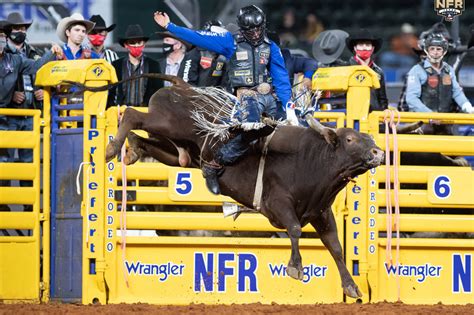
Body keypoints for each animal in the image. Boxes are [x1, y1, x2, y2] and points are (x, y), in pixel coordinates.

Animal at [75, 73, 386, 298]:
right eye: (350, 139)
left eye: (368, 138)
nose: (378, 153)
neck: (314, 161)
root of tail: (184, 87)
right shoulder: (278, 204)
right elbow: (296, 229)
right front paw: (295, 268)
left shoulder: (321, 213)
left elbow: (335, 246)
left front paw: (350, 286)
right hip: (167, 123)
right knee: (131, 114)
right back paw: (111, 148)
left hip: (180, 151)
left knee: (158, 145)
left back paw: (131, 149)